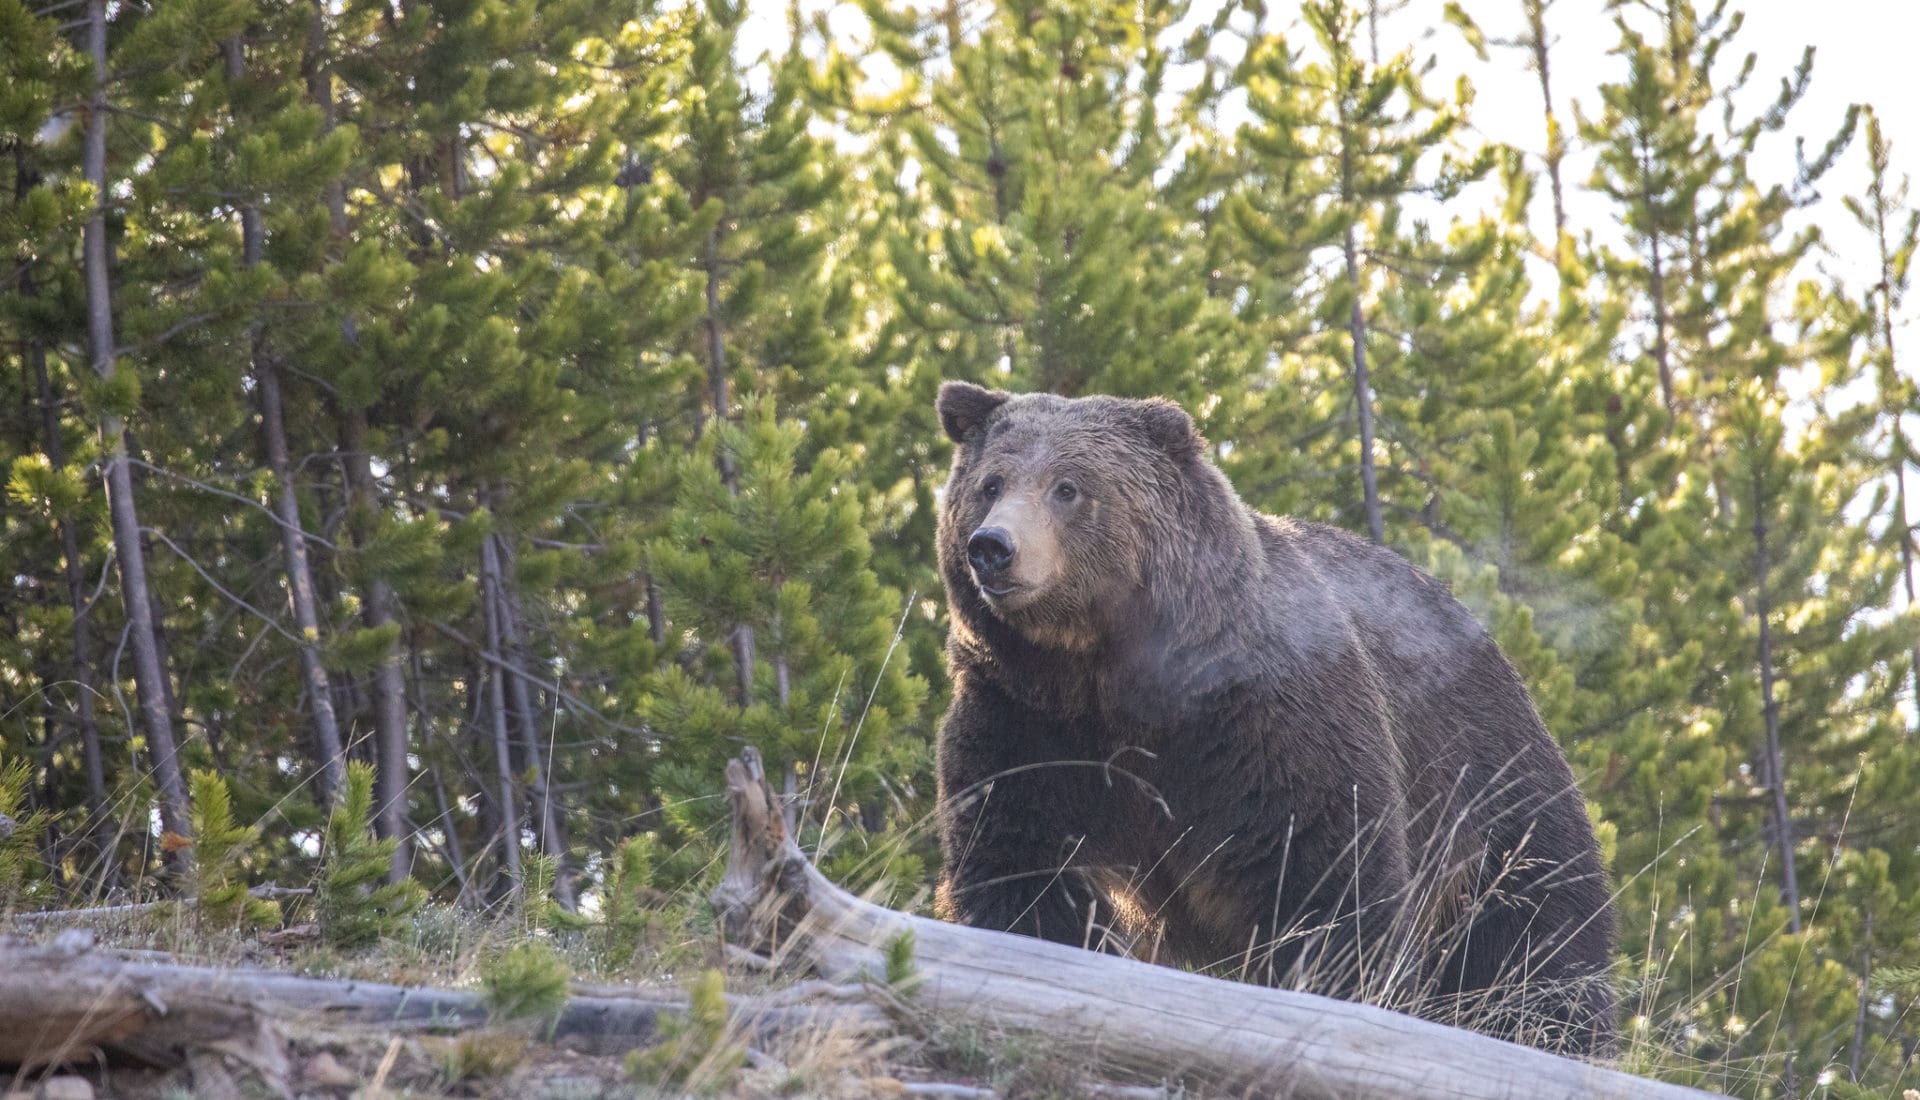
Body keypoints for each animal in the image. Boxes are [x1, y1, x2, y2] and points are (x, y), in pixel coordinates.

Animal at [931, 381, 1616, 1056]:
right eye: (990, 483)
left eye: (1068, 487)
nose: (993, 547)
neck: (1107, 675)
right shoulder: (1026, 718)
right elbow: (1019, 858)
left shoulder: (1262, 719)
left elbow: (1321, 870)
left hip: (1488, 777)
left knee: (1537, 929)